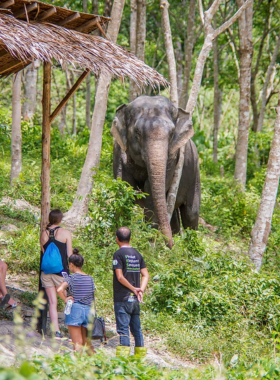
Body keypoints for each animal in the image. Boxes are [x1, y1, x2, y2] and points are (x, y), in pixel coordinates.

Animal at [110, 95, 200, 248]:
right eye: (137, 132)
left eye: (172, 133)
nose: (170, 245)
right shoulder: (118, 151)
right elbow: (124, 187)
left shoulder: (172, 158)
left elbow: (150, 190)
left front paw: (149, 243)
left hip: (195, 173)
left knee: (191, 213)